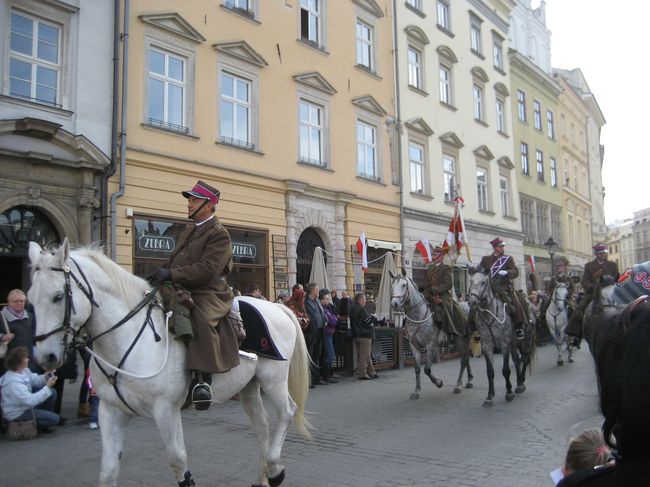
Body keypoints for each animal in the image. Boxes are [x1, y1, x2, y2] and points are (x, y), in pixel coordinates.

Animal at [29, 240, 312, 487]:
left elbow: (178, 461)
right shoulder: (111, 411)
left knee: (287, 412)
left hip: (273, 379)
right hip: (249, 387)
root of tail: (277, 307)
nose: (46, 358)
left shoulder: (165, 409)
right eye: (31, 299)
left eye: (58, 296)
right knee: (262, 428)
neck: (132, 338)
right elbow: (108, 472)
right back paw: (263, 475)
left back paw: (275, 469)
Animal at [388, 270, 474, 400]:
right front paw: (416, 391)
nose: (395, 304)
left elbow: (427, 369)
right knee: (466, 357)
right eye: (392, 286)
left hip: (463, 339)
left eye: (403, 285)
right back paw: (469, 380)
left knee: (463, 360)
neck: (418, 315)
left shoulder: (431, 345)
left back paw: (458, 385)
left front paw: (439, 382)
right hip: (459, 343)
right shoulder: (414, 346)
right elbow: (417, 369)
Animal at [466, 270, 528, 408]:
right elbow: (490, 372)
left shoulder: (504, 345)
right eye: (471, 281)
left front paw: (509, 392)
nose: (472, 302)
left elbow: (505, 370)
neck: (490, 315)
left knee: (525, 358)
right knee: (517, 360)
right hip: (513, 342)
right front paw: (489, 396)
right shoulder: (487, 346)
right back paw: (519, 384)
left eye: (483, 282)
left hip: (523, 339)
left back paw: (521, 382)